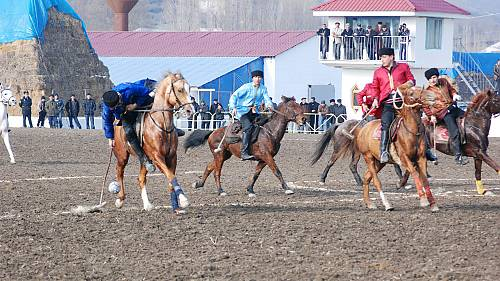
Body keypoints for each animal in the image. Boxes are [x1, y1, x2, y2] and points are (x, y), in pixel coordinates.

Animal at [113, 72, 193, 212]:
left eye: (189, 89)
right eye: (179, 90)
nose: (190, 110)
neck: (161, 125)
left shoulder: (172, 157)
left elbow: (171, 180)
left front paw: (176, 207)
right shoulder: (157, 157)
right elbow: (171, 176)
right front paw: (183, 200)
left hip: (145, 159)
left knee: (141, 178)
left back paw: (147, 205)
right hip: (122, 155)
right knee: (119, 171)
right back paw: (120, 199)